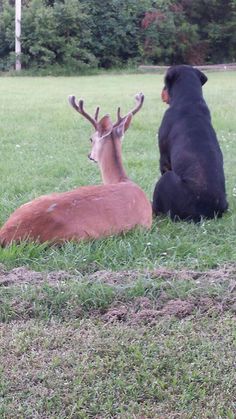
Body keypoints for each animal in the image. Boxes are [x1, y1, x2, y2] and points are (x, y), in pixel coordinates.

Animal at [152, 65, 228, 223]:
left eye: (165, 82)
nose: (161, 92)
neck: (189, 99)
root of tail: (208, 211)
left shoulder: (164, 158)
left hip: (166, 180)